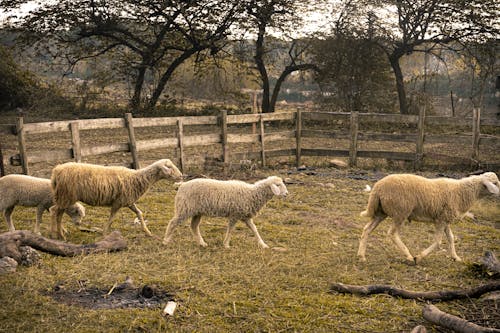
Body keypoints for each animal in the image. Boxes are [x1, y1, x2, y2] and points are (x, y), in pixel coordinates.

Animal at [49, 158, 183, 239]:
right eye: (169, 167)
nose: (181, 176)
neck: (138, 178)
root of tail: (56, 171)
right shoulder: (118, 202)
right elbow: (112, 218)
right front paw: (104, 233)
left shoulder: (128, 201)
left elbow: (139, 213)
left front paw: (147, 232)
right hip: (66, 196)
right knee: (55, 212)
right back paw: (57, 235)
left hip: (64, 197)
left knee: (57, 212)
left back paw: (60, 233)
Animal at [358, 172, 498, 264]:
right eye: (495, 183)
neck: (462, 192)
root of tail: (377, 187)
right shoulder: (441, 220)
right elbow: (438, 242)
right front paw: (419, 257)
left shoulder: (445, 219)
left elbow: (451, 238)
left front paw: (455, 257)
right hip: (400, 212)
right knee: (392, 233)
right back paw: (409, 256)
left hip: (381, 212)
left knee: (367, 229)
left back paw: (361, 256)